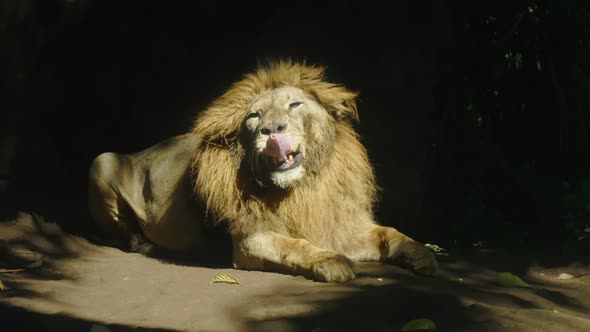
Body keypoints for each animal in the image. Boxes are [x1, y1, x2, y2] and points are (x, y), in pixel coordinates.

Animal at [88, 61, 440, 282]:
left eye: (295, 105)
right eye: (254, 116)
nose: (270, 130)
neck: (302, 187)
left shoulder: (337, 225)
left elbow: (389, 233)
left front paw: (420, 253)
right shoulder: (248, 240)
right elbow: (293, 246)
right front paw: (329, 261)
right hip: (101, 161)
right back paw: (144, 244)